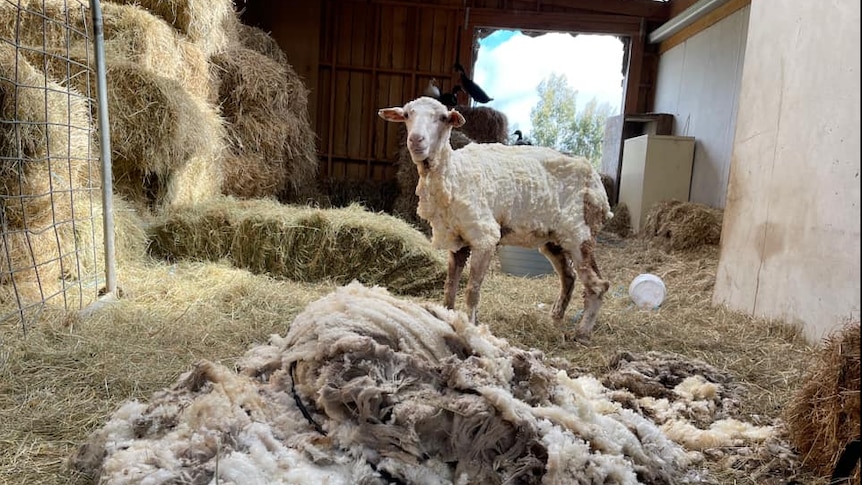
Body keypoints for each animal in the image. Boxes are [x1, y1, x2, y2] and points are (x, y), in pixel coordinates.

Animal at [380, 95, 616, 340]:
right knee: (569, 277)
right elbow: (449, 287)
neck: (453, 173)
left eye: (443, 118)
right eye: (407, 115)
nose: (416, 140)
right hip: (555, 239)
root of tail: (597, 182)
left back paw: (582, 332)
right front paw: (446, 315)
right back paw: (556, 318)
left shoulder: (484, 237)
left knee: (599, 284)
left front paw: (471, 326)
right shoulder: (458, 240)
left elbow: (472, 290)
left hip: (579, 233)